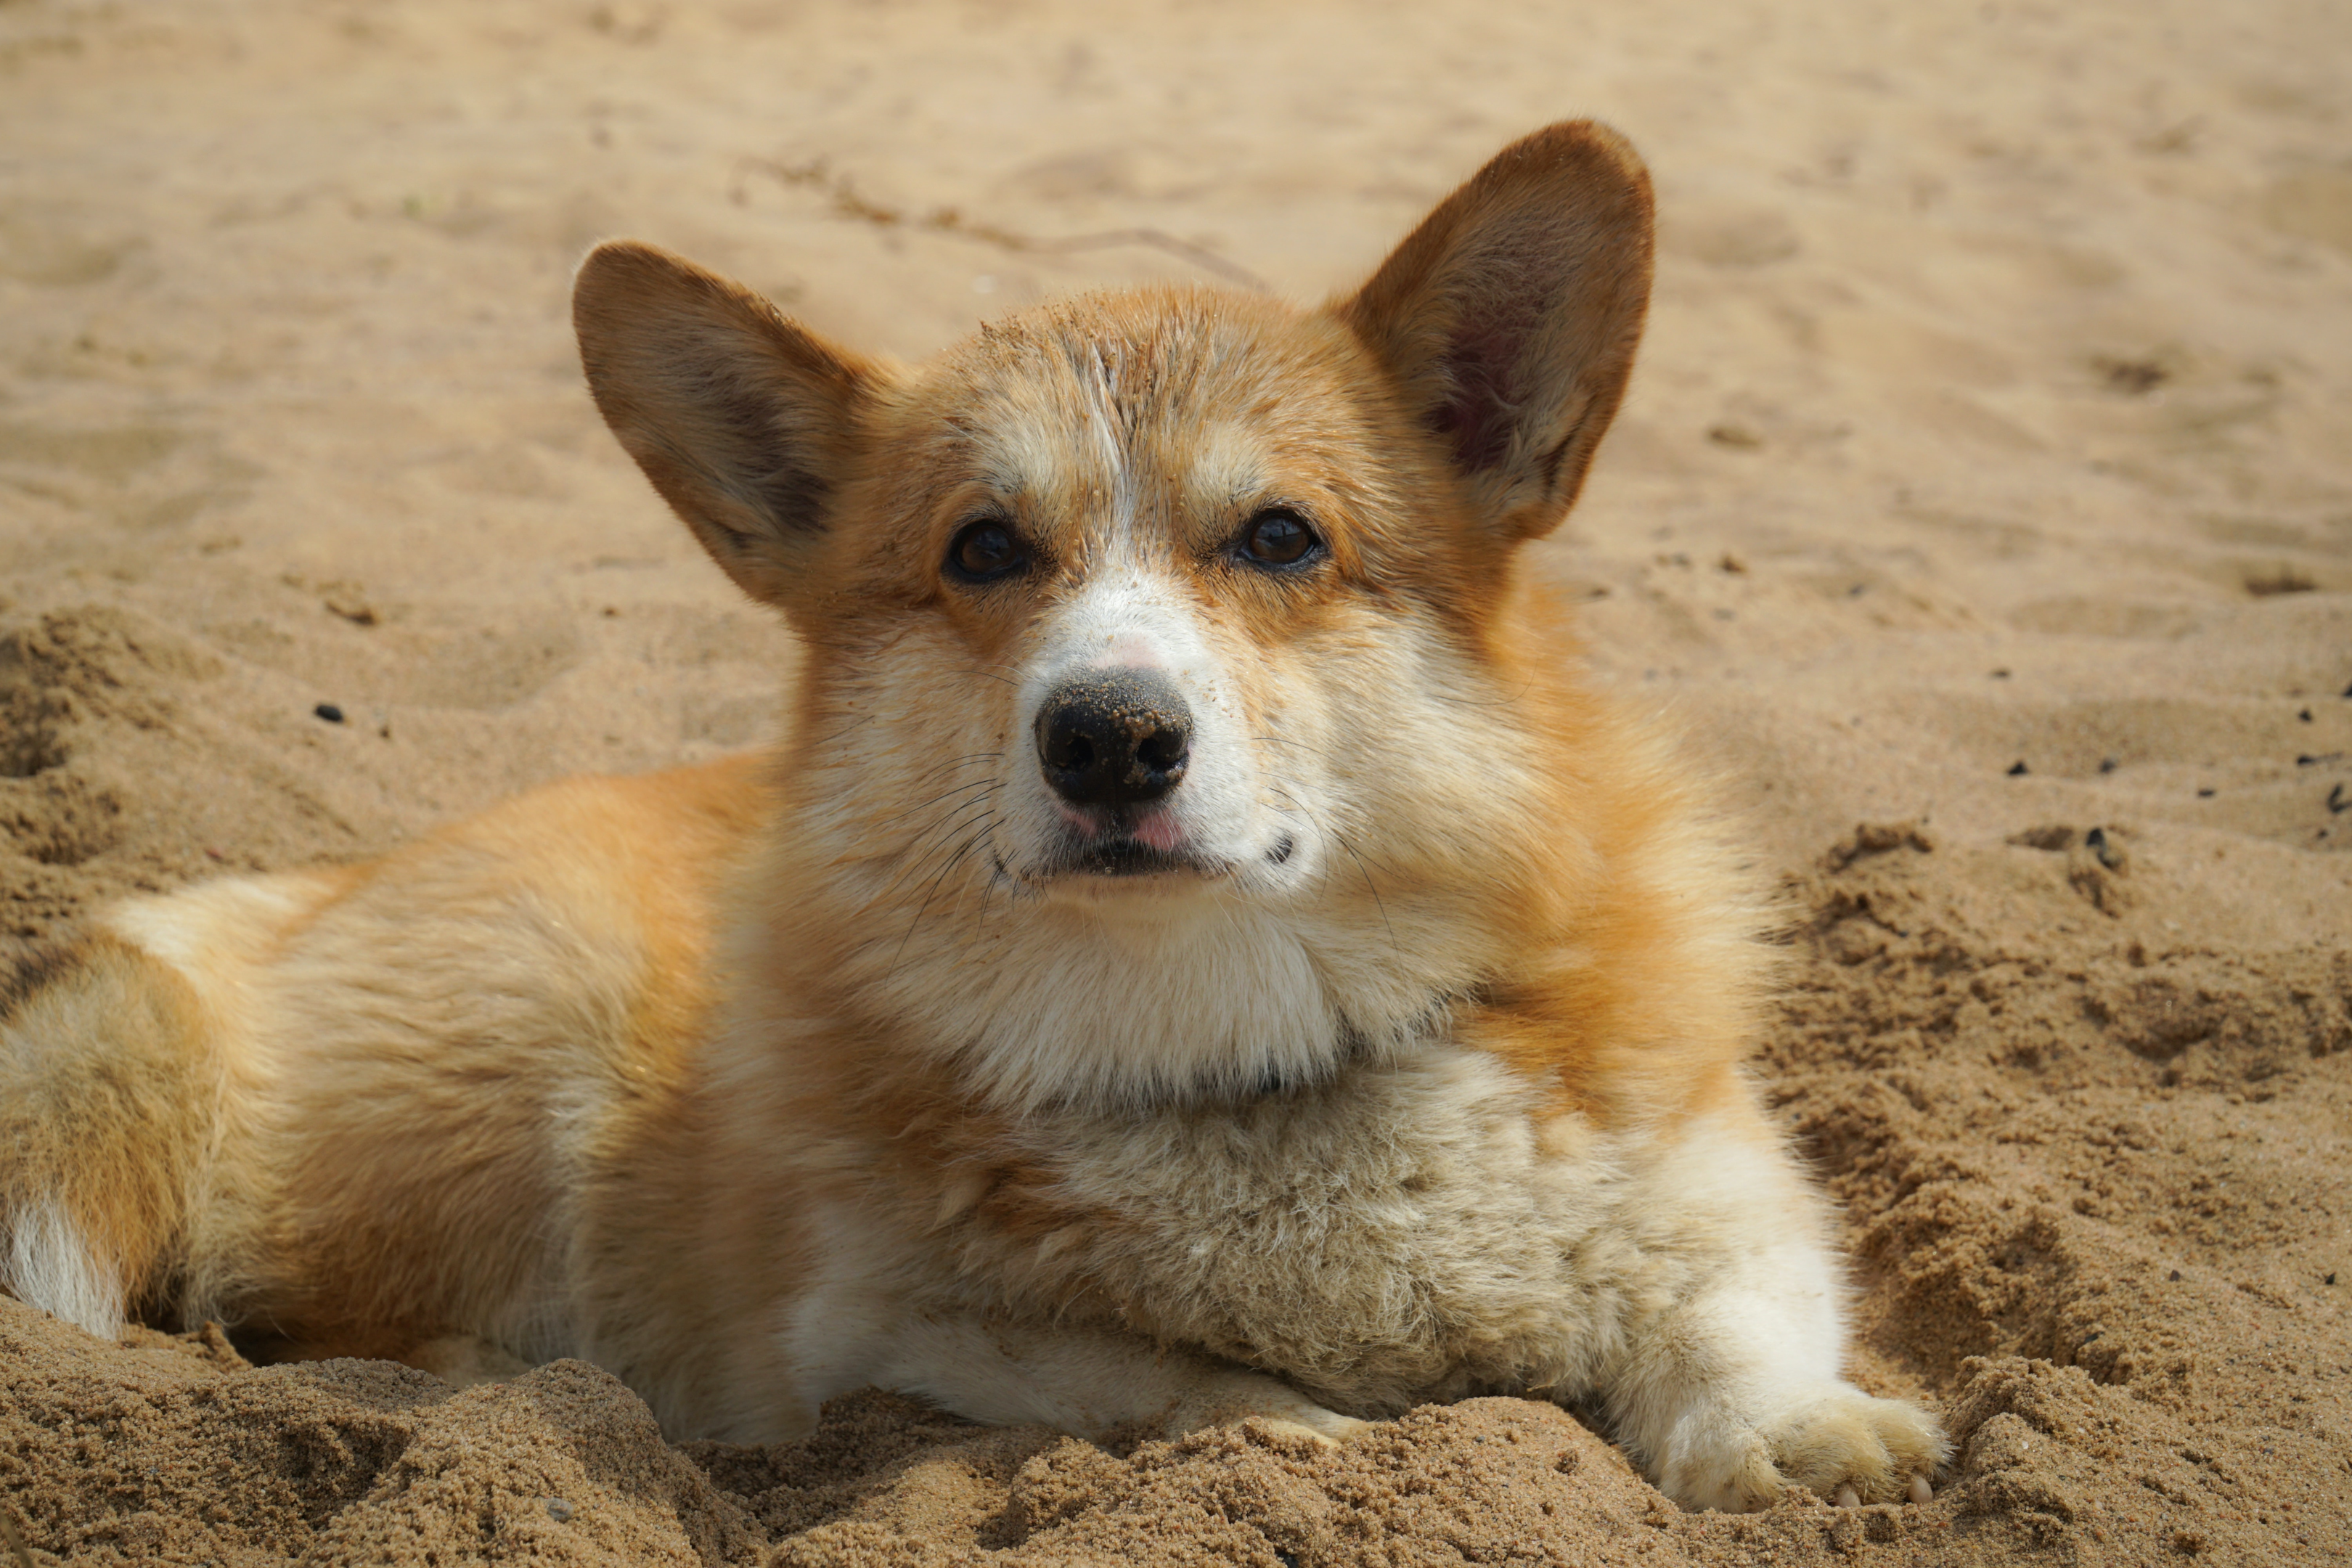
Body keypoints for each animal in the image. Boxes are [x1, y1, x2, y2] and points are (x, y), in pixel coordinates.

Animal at [0, 123, 1947, 1504]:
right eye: (985, 551)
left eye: (1281, 537)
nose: (1110, 739)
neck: (1243, 1053)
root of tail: (267, 902)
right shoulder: (882, 1330)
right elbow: (1157, 1379)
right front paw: (1307, 1434)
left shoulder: (1736, 1194)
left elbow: (1728, 1313)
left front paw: (1802, 1437)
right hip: (522, 1067)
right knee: (300, 1314)